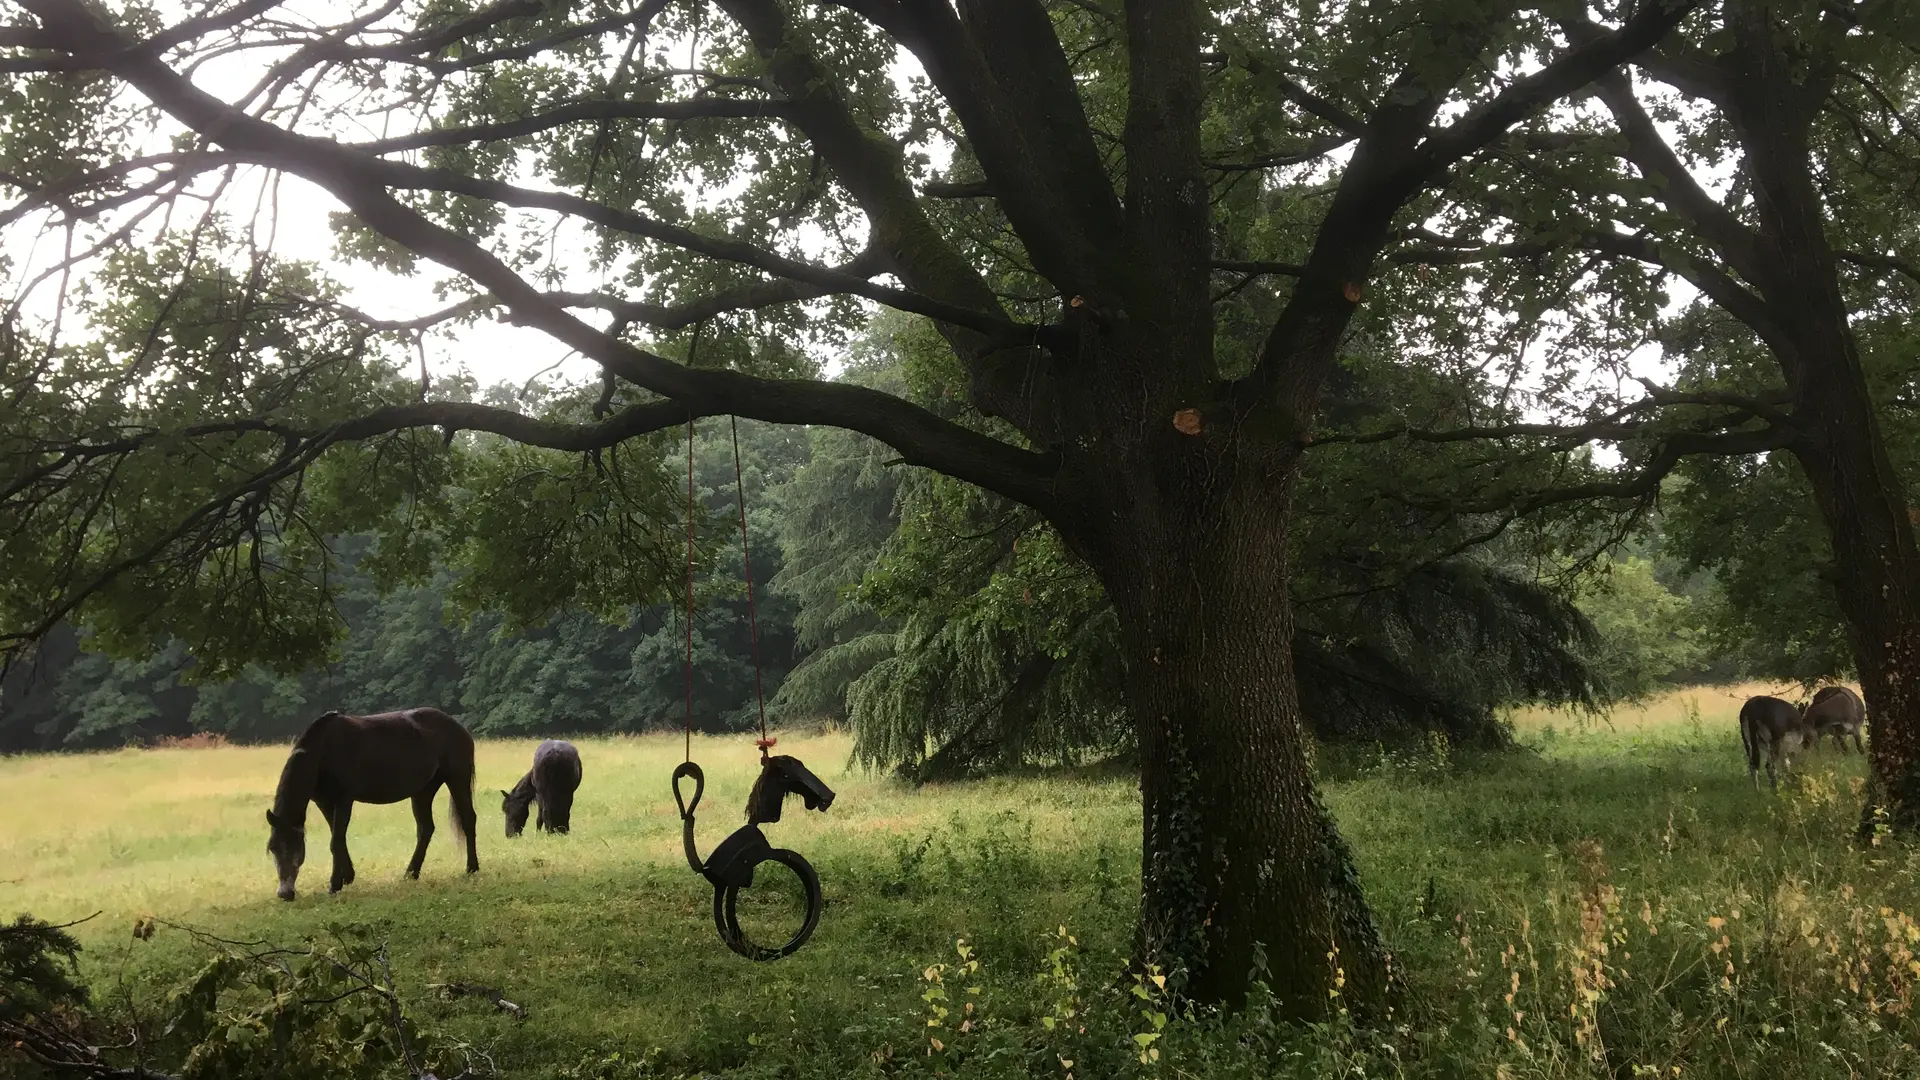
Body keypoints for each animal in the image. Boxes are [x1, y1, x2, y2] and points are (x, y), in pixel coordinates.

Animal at [263, 707, 480, 899]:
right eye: (272, 848)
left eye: (294, 846)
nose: (285, 893)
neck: (323, 751)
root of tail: (460, 728)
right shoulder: (324, 802)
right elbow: (337, 838)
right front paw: (347, 876)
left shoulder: (344, 800)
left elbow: (336, 841)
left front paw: (335, 884)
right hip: (423, 791)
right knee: (425, 829)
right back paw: (411, 873)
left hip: (457, 779)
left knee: (468, 819)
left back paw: (472, 868)